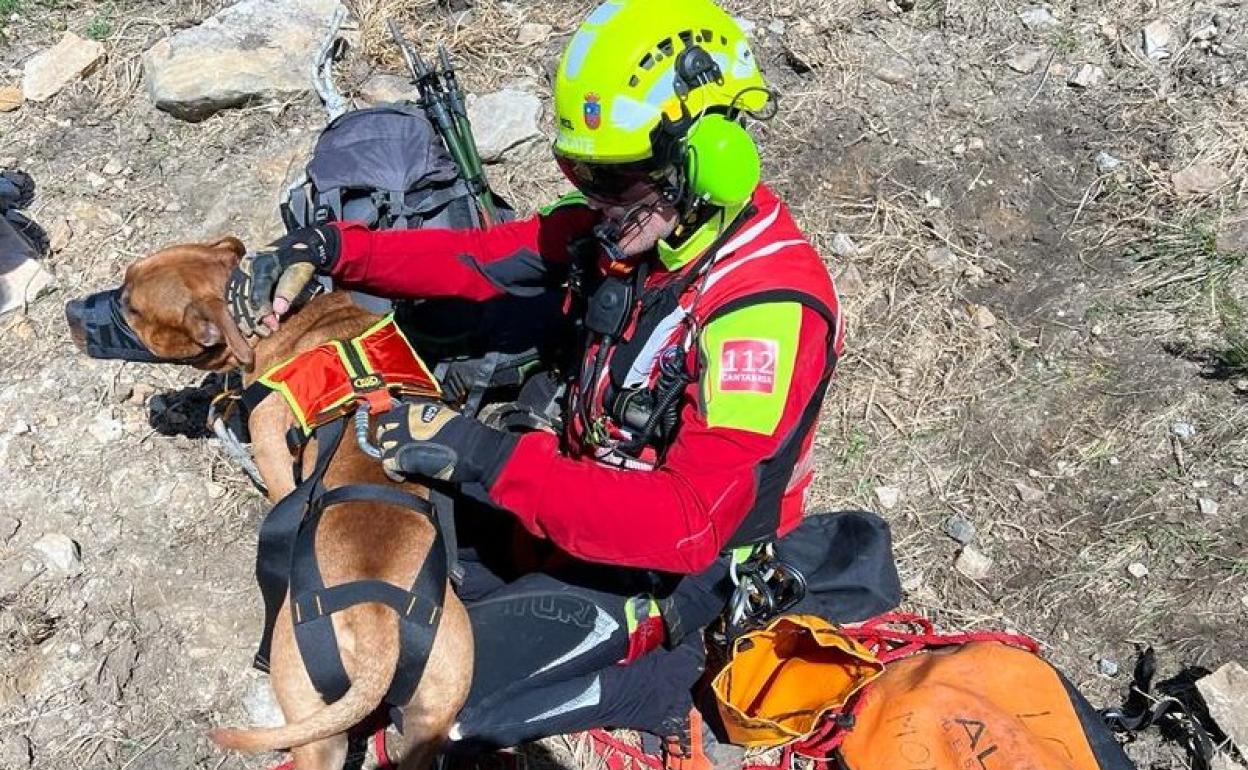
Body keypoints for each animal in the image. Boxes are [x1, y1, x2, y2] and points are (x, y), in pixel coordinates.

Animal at [67, 238, 471, 768]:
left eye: (131, 307)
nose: (70, 310)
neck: (280, 320)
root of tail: (378, 628)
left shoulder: (274, 456)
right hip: (431, 716)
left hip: (313, 724)